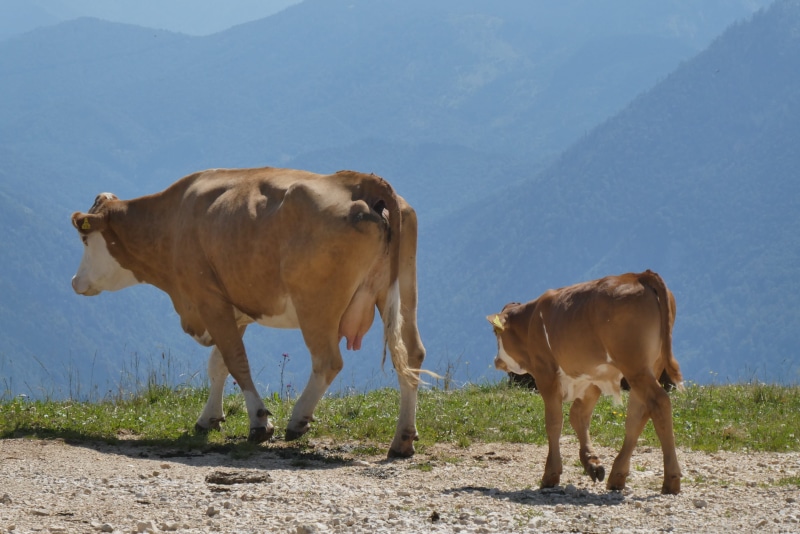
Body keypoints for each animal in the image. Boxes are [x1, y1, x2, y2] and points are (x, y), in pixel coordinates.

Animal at [71, 167, 427, 458]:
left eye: (85, 239)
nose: (75, 282)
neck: (172, 220)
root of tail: (360, 182)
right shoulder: (231, 306)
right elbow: (218, 364)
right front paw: (209, 418)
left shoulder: (208, 298)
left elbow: (235, 360)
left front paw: (259, 422)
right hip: (403, 293)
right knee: (412, 355)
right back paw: (403, 439)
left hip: (316, 305)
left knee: (328, 361)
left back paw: (298, 420)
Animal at [487, 270, 684, 494]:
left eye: (495, 332)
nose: (497, 361)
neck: (531, 321)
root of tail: (639, 275)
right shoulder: (592, 376)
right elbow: (578, 415)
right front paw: (592, 463)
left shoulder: (546, 373)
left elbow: (554, 421)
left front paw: (551, 474)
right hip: (651, 365)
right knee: (638, 414)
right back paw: (617, 475)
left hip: (635, 366)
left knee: (659, 403)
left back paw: (671, 479)